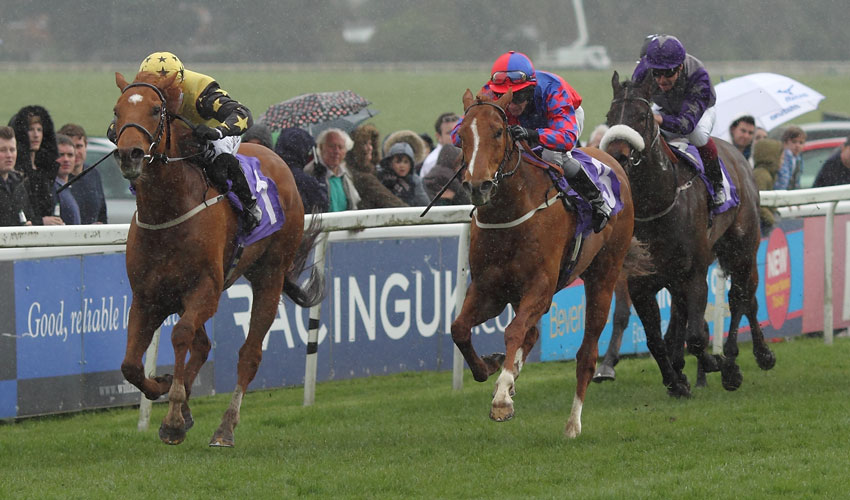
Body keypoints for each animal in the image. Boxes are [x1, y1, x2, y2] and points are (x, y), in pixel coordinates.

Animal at [113, 71, 324, 446]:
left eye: (155, 110)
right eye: (116, 111)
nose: (129, 154)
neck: (169, 212)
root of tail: (278, 161)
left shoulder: (205, 290)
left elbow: (180, 335)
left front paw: (173, 418)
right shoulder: (148, 297)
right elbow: (131, 366)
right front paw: (166, 390)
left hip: (269, 275)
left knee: (249, 354)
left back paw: (225, 428)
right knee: (204, 345)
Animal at [448, 90, 640, 438]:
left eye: (498, 131)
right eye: (462, 135)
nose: (478, 185)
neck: (510, 213)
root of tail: (613, 162)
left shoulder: (540, 286)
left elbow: (513, 331)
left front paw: (501, 399)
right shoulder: (489, 289)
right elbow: (459, 329)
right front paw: (490, 369)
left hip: (604, 274)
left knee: (587, 354)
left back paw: (573, 424)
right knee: (532, 333)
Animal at [600, 71, 772, 398]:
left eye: (642, 116)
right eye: (609, 116)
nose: (617, 156)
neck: (658, 203)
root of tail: (739, 155)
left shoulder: (694, 273)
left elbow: (696, 336)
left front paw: (717, 363)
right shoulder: (641, 281)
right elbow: (655, 340)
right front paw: (676, 381)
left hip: (742, 249)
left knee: (741, 298)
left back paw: (743, 359)